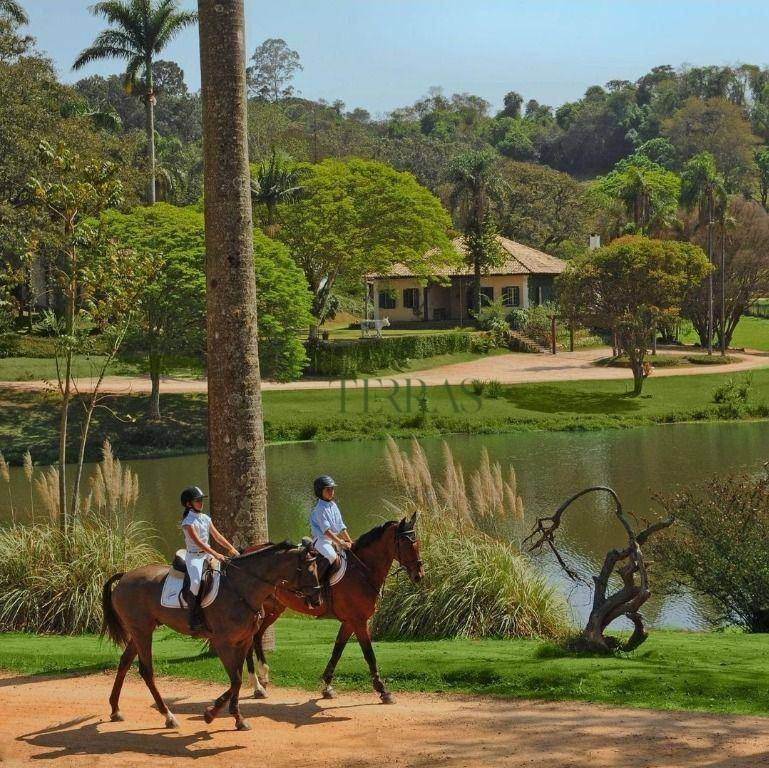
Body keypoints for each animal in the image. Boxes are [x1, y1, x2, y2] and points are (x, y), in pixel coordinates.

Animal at [101, 544, 318, 728]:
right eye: (309, 569)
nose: (317, 599)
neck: (241, 587)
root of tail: (125, 576)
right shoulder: (222, 642)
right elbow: (236, 680)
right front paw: (212, 713)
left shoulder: (243, 640)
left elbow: (237, 679)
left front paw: (237, 717)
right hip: (142, 631)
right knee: (146, 671)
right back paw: (168, 716)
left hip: (140, 631)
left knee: (124, 662)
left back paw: (115, 709)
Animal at [246, 516, 424, 704]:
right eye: (405, 543)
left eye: (417, 542)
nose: (419, 575)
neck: (362, 570)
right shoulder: (359, 621)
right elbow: (369, 654)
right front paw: (383, 690)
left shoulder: (349, 622)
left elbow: (337, 651)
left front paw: (327, 687)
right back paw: (257, 686)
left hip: (273, 610)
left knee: (256, 637)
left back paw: (263, 679)